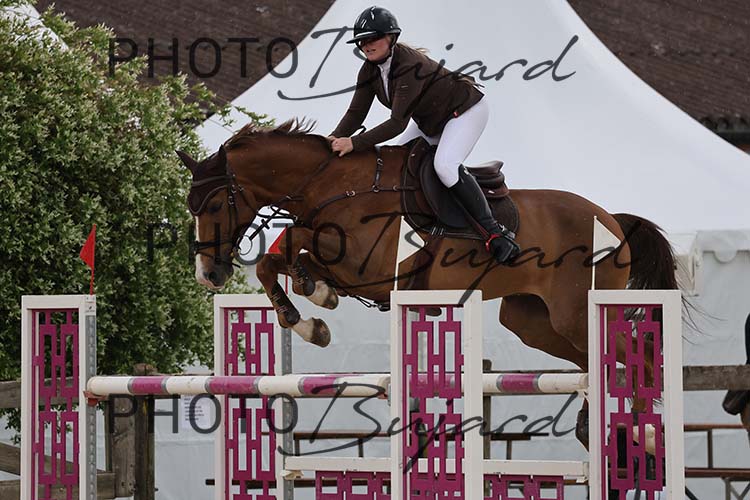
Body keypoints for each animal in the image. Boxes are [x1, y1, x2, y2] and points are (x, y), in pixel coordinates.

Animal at [177, 118, 679, 441]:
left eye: (215, 204)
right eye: (191, 206)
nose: (209, 274)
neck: (331, 184)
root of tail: (611, 219)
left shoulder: (371, 270)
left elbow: (300, 249)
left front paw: (314, 299)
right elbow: (275, 261)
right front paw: (311, 316)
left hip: (575, 311)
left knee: (637, 354)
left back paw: (641, 430)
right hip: (533, 321)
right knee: (592, 362)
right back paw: (592, 425)